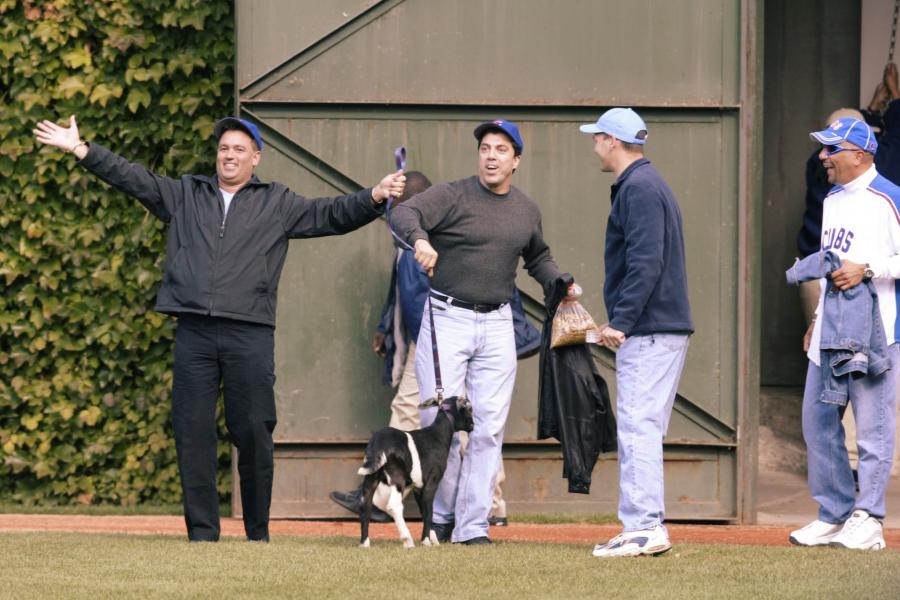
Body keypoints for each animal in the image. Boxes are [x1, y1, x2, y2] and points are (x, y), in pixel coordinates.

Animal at [356, 396, 474, 548]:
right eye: (469, 409)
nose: (472, 426)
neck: (437, 435)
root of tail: (379, 443)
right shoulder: (432, 482)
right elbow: (429, 512)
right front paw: (426, 541)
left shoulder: (418, 487)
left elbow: (424, 512)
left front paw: (434, 540)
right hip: (397, 477)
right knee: (394, 505)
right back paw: (407, 540)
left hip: (371, 477)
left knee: (365, 504)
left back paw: (364, 543)